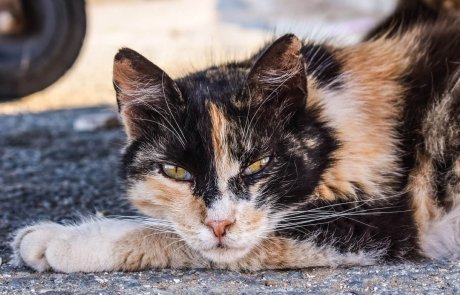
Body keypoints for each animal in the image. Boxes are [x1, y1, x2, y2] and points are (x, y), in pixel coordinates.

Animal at [10, 0, 460, 272]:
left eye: (258, 163)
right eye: (176, 171)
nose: (220, 224)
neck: (329, 121)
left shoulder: (375, 222)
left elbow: (182, 239)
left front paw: (58, 240)